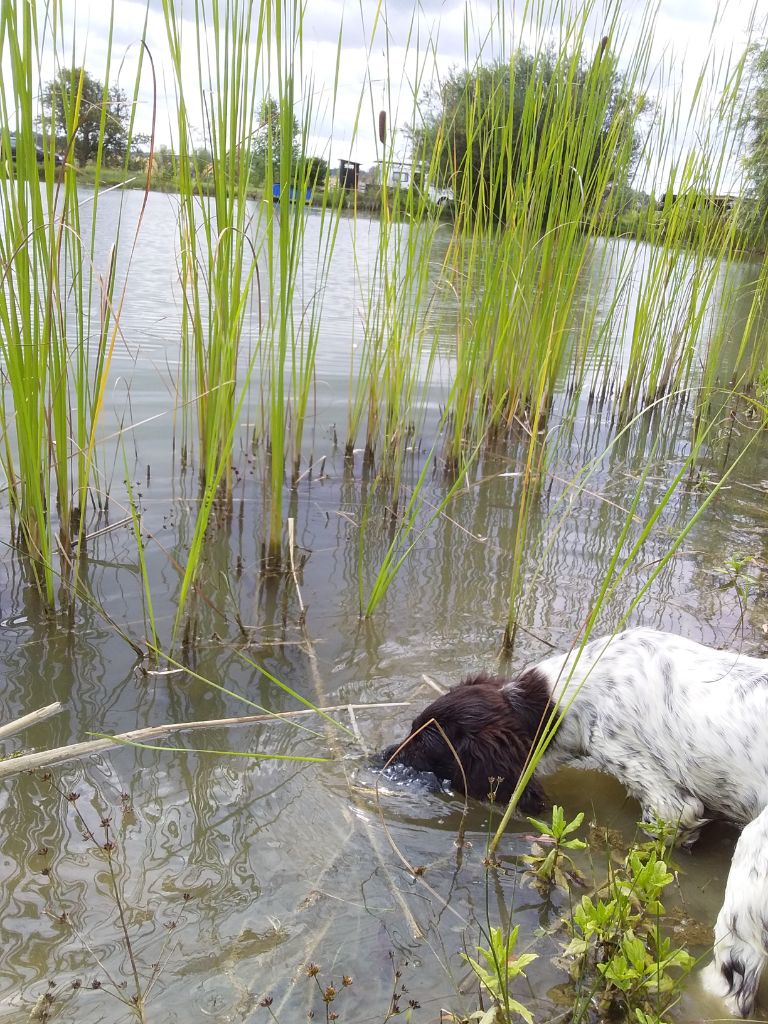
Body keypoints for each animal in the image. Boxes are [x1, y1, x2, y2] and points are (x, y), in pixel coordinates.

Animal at [387, 626, 768, 1011]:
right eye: (411, 728)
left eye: (422, 746)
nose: (382, 757)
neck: (577, 690)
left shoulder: (669, 805)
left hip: (752, 858)